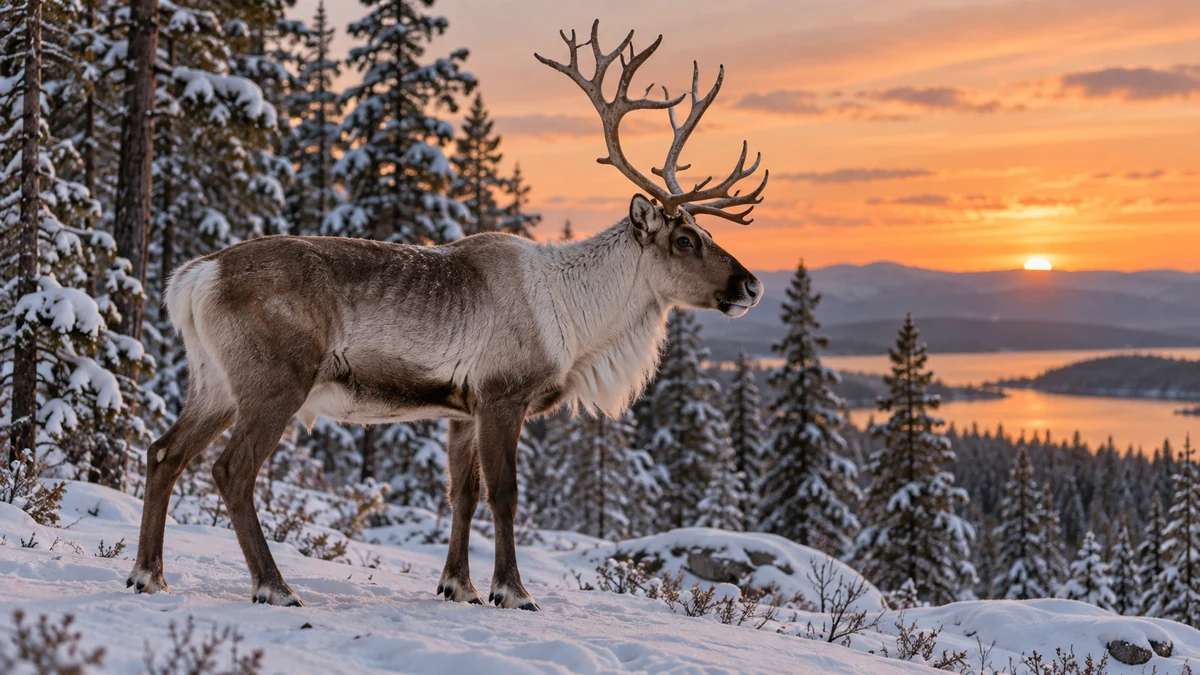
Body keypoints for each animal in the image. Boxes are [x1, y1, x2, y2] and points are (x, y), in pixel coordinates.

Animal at [127, 20, 767, 611]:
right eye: (684, 240)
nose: (751, 284)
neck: (579, 323)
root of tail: (193, 278)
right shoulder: (503, 395)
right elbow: (505, 494)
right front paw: (513, 591)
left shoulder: (462, 409)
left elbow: (462, 494)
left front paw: (458, 586)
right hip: (274, 380)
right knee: (231, 470)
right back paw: (274, 587)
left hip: (213, 381)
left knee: (163, 453)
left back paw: (148, 575)